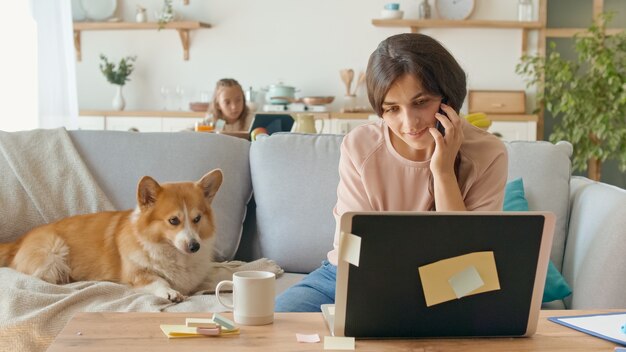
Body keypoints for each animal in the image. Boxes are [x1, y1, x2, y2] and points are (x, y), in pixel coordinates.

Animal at [0, 169, 223, 302]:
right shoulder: (137, 274)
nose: (195, 246)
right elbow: (159, 281)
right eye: (174, 220)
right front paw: (170, 292)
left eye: (197, 218)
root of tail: (19, 241)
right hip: (53, 254)